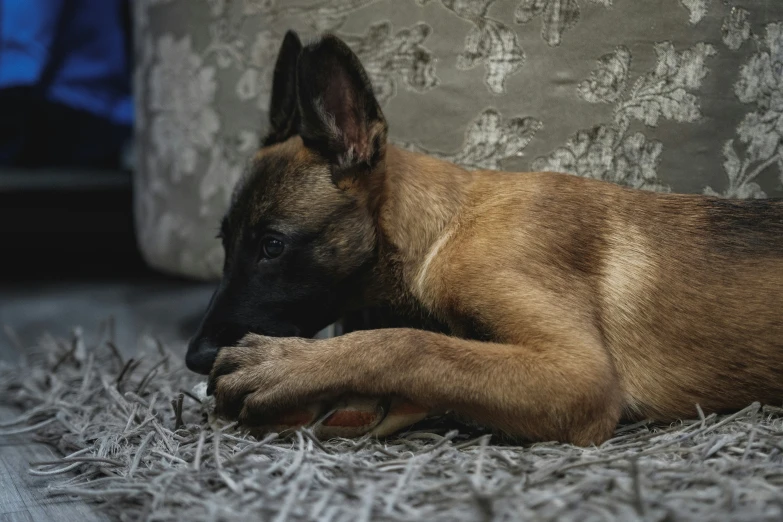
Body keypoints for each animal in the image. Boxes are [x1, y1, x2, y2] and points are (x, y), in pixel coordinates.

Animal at [187, 30, 783, 442]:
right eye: (224, 244)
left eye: (272, 246)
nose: (194, 356)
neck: (443, 230)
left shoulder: (579, 375)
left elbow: (410, 344)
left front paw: (288, 365)